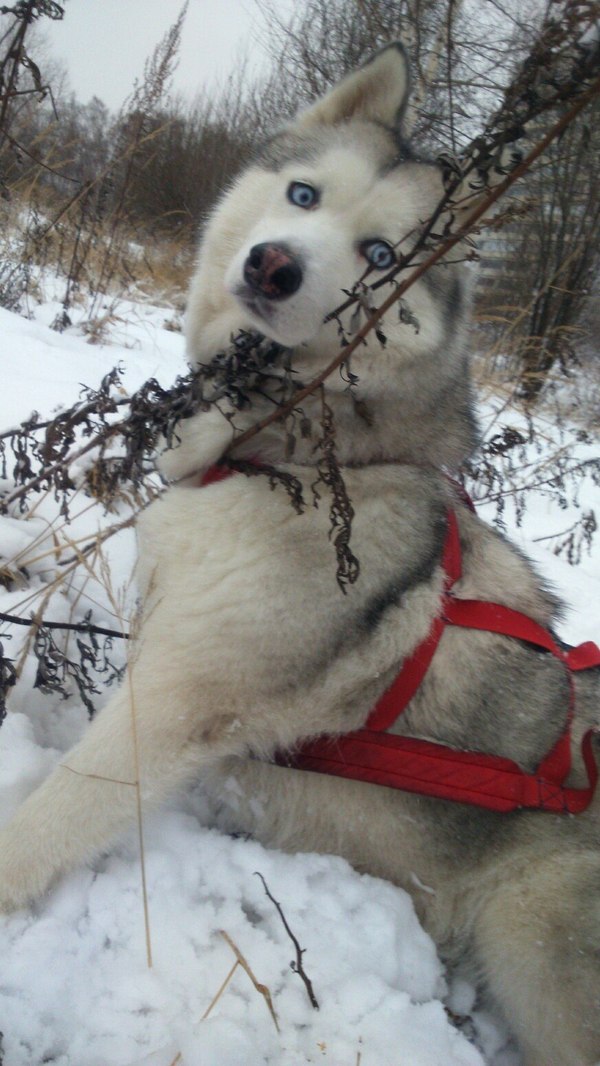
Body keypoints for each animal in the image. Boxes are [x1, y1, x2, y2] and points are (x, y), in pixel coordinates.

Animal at [1, 43, 600, 1066]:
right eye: (304, 194)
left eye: (382, 256)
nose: (274, 264)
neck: (285, 452)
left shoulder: (177, 698)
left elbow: (59, 809)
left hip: (540, 934)